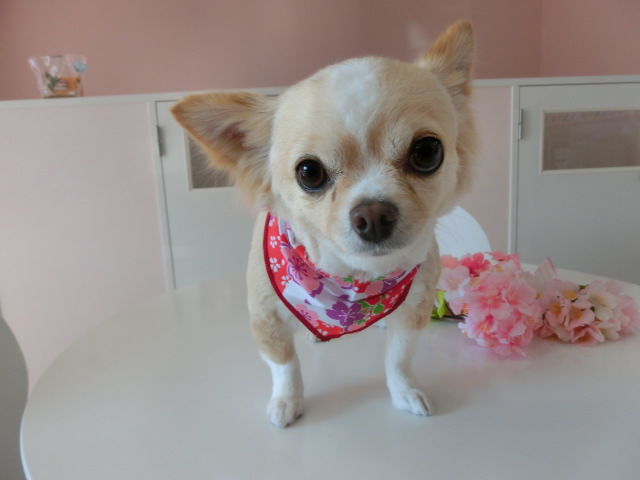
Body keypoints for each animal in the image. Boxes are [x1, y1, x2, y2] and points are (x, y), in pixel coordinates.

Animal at [171, 20, 476, 427]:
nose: (374, 214)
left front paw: (405, 392)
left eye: (427, 152)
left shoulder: (416, 308)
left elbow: (399, 358)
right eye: (309, 172)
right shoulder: (265, 316)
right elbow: (284, 363)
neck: (352, 276)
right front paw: (287, 401)